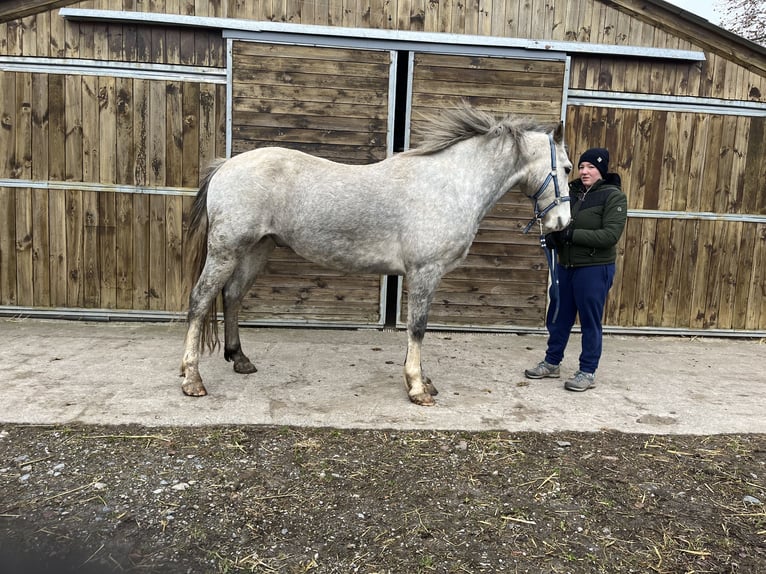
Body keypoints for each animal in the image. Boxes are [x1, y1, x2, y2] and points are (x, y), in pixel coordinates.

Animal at [183, 106, 572, 408]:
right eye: (567, 168)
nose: (562, 224)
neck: (449, 184)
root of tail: (225, 166)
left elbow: (416, 329)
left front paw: (422, 380)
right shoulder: (425, 271)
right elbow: (418, 327)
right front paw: (417, 388)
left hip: (256, 249)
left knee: (232, 296)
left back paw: (240, 360)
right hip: (225, 250)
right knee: (200, 301)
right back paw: (192, 380)